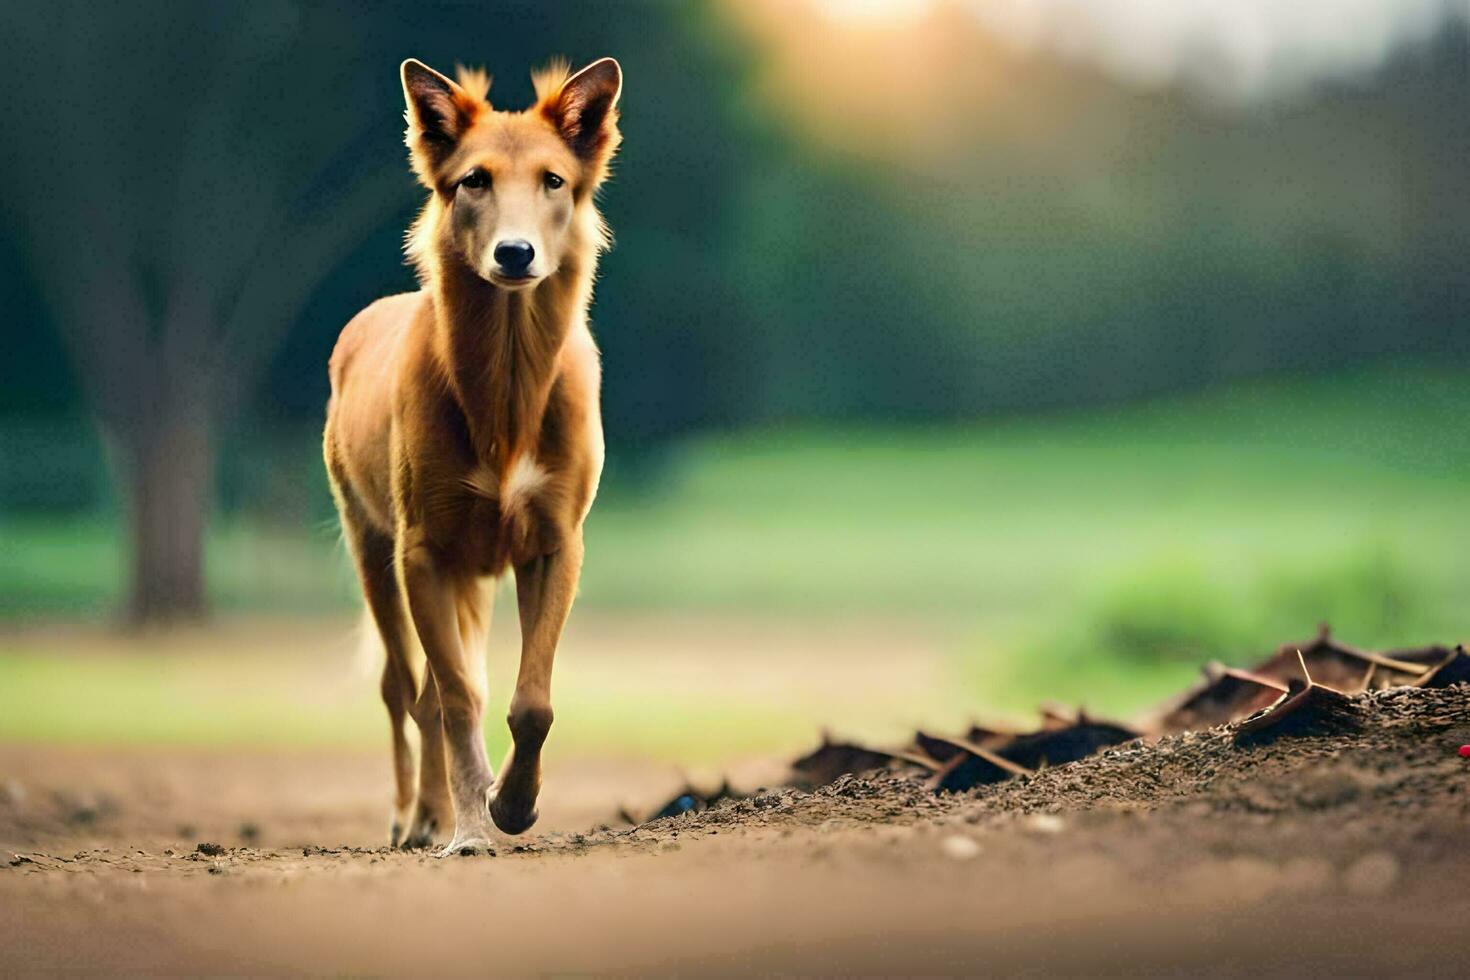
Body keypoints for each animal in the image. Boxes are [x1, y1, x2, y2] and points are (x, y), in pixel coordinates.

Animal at [321, 57, 620, 852]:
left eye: (554, 180)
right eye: (473, 180)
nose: (514, 254)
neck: (505, 403)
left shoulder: (555, 539)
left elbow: (530, 701)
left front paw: (512, 803)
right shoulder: (424, 548)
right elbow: (449, 697)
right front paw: (468, 822)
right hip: (371, 541)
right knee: (404, 687)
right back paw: (416, 816)